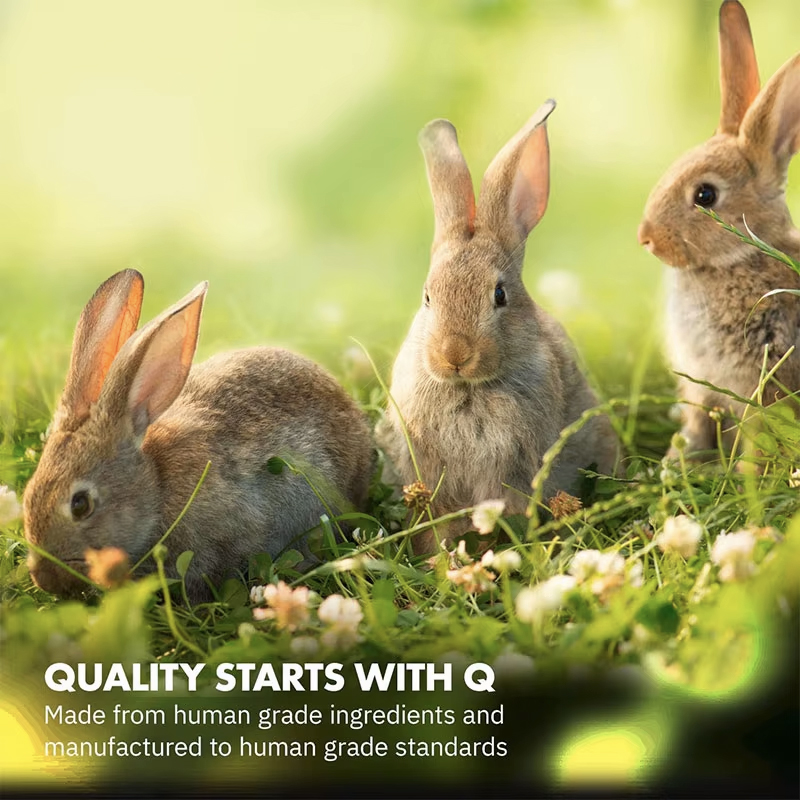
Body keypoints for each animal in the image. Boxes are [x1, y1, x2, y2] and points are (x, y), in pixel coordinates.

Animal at [638, 0, 800, 460]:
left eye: (705, 195)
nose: (646, 237)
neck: (738, 259)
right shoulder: (700, 386)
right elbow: (696, 420)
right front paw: (679, 460)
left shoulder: (763, 381)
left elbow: (761, 431)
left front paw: (748, 468)